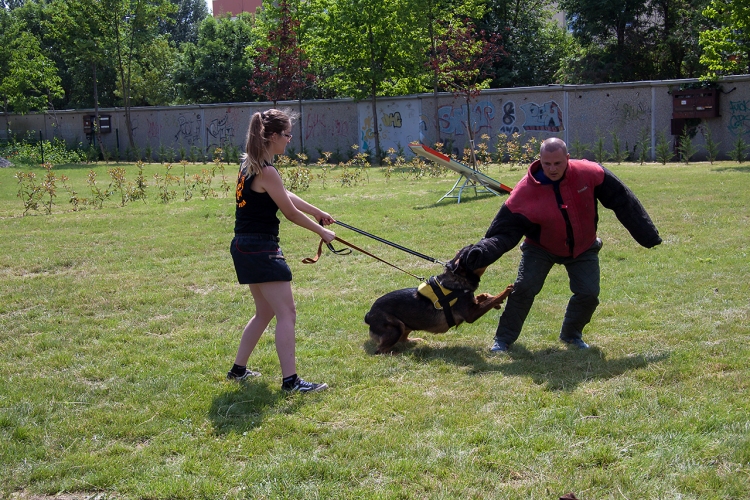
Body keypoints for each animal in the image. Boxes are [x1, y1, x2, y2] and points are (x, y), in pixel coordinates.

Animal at [366, 245, 516, 354]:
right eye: (471, 256)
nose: (480, 246)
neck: (458, 278)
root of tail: (368, 315)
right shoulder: (471, 315)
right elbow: (491, 300)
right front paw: (506, 291)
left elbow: (485, 299)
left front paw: (485, 296)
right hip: (396, 328)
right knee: (380, 350)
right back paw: (395, 353)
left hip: (405, 325)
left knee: (403, 339)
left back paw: (414, 341)